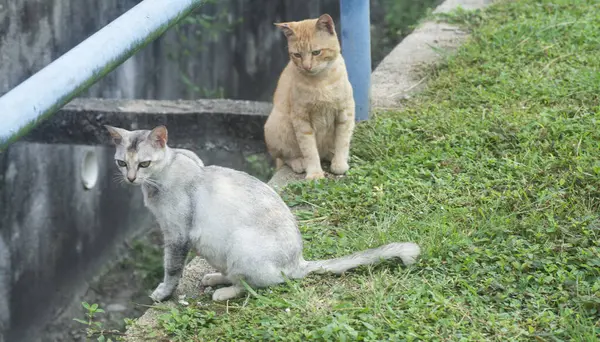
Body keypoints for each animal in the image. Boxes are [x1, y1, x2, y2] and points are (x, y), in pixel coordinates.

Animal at [104, 125, 422, 302]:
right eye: (122, 163)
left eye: (144, 164)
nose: (131, 178)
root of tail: (298, 263)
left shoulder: (177, 236)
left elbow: (171, 270)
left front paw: (163, 293)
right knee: (237, 276)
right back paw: (215, 279)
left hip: (240, 247)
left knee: (251, 284)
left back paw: (222, 292)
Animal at [264, 14, 356, 179]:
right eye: (297, 55)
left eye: (316, 52)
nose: (307, 66)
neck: (321, 82)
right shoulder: (301, 119)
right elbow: (309, 150)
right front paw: (314, 173)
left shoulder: (345, 112)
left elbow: (342, 141)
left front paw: (339, 163)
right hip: (278, 125)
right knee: (285, 157)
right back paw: (299, 162)